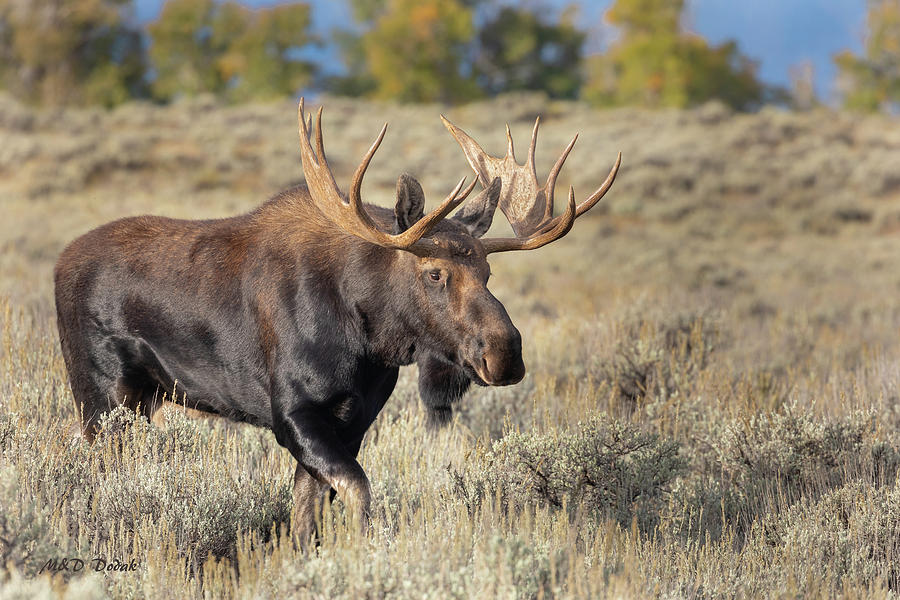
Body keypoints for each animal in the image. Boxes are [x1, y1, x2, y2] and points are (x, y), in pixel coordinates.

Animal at [54, 98, 620, 540]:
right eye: (434, 272)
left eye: (487, 270)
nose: (505, 353)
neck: (370, 339)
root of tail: (60, 264)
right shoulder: (292, 414)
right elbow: (359, 492)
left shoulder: (354, 419)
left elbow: (308, 517)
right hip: (103, 398)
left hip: (141, 401)